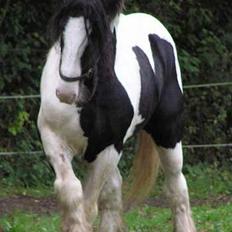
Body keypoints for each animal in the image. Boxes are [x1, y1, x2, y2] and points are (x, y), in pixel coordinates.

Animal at [37, 0, 196, 232]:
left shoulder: (110, 148)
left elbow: (88, 206)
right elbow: (71, 191)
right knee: (112, 194)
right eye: (61, 27)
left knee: (176, 186)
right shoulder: (54, 139)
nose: (65, 92)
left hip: (168, 135)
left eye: (95, 33)